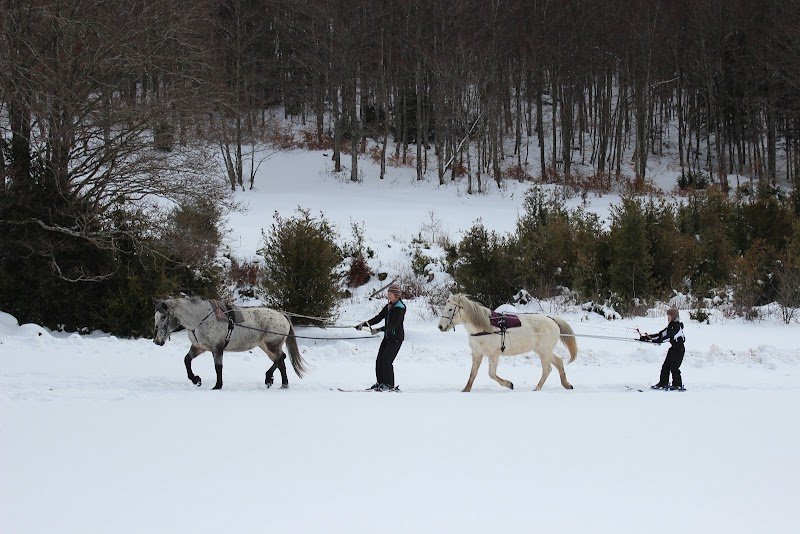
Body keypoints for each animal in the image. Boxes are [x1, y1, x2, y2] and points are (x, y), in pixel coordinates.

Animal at [153, 298, 308, 390]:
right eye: (156, 317)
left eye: (163, 316)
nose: (157, 341)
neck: (200, 319)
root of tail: (283, 316)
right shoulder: (199, 347)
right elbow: (187, 360)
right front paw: (196, 380)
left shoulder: (217, 348)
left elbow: (218, 367)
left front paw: (217, 386)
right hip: (267, 347)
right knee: (280, 362)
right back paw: (282, 384)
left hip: (272, 345)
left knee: (281, 358)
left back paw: (269, 378)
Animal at [437, 293, 578, 392]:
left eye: (450, 309)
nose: (440, 327)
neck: (485, 327)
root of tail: (552, 320)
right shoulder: (477, 354)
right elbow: (473, 374)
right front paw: (466, 390)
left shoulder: (494, 355)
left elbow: (491, 374)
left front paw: (509, 384)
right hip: (544, 351)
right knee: (558, 362)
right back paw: (567, 385)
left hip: (544, 352)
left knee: (547, 369)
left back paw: (537, 388)